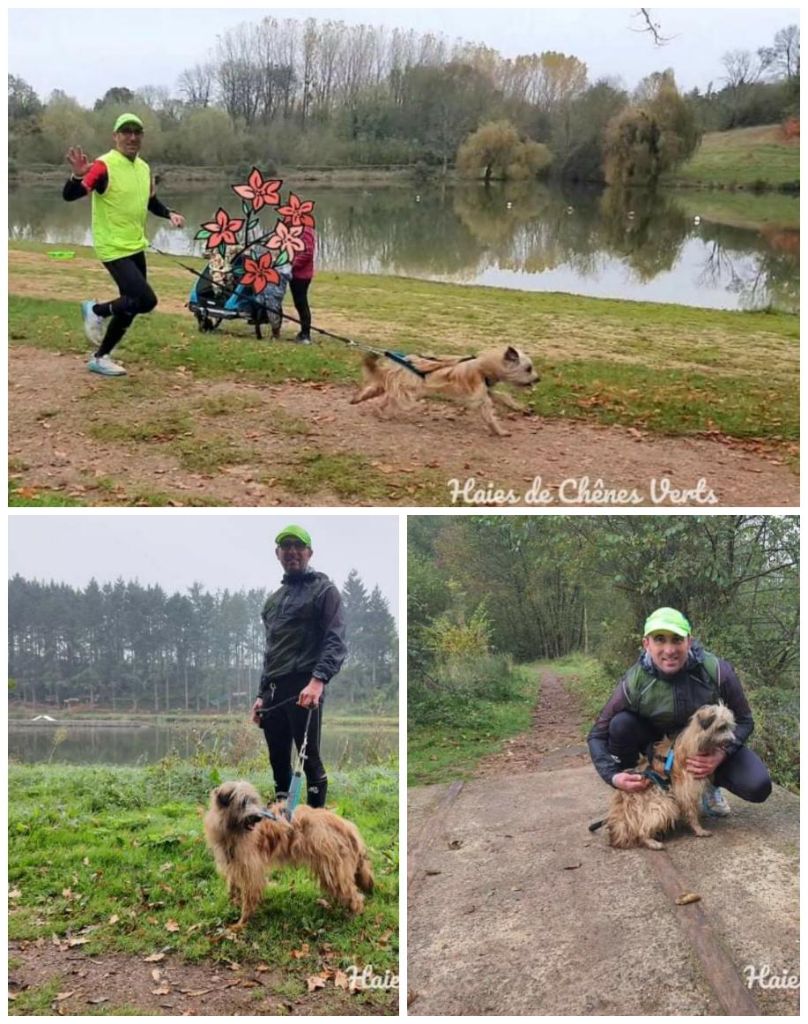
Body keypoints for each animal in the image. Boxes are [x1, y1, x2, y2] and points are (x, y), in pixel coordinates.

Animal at [206, 782, 372, 929]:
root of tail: (347, 826)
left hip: (333, 867)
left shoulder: (251, 871)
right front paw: (232, 903)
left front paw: (241, 922)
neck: (232, 831)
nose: (258, 818)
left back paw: (353, 913)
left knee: (353, 894)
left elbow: (249, 897)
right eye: (243, 802)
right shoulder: (234, 864)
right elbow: (232, 885)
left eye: (253, 800)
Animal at [350, 346, 540, 438]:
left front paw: (518, 406)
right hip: (407, 389)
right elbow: (489, 413)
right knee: (390, 397)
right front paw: (499, 431)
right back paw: (380, 411)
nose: (538, 379)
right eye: (529, 369)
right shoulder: (479, 396)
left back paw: (359, 399)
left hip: (395, 383)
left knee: (377, 389)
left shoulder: (484, 389)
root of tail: (400, 362)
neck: (483, 366)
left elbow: (502, 396)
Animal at [606, 700, 733, 851]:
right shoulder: (686, 789)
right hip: (663, 803)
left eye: (730, 726)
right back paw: (651, 841)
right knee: (642, 829)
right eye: (722, 727)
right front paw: (698, 829)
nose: (733, 741)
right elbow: (691, 811)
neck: (696, 742)